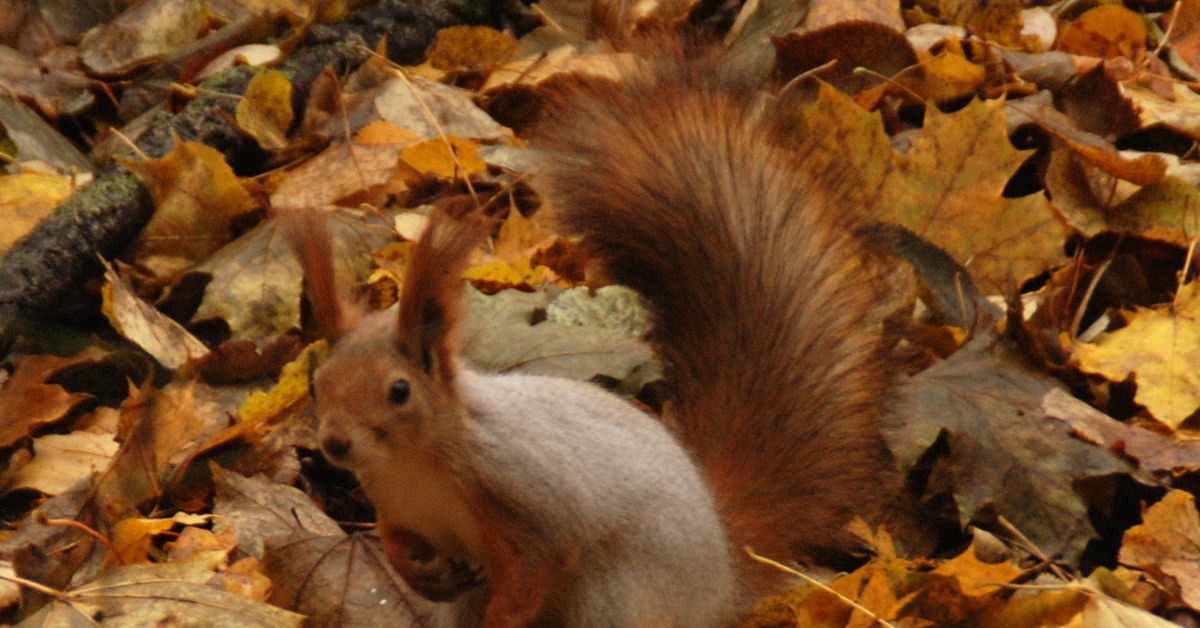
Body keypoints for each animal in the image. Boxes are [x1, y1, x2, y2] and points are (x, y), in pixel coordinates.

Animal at [288, 50, 892, 628]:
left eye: (399, 390)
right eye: (319, 383)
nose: (335, 444)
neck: (414, 462)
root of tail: (721, 579)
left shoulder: (531, 493)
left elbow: (539, 563)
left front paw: (502, 618)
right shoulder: (392, 501)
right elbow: (394, 542)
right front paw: (420, 575)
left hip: (613, 595)